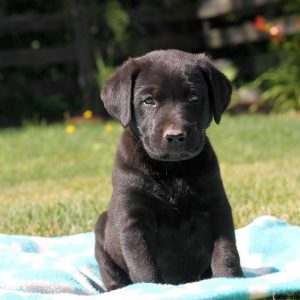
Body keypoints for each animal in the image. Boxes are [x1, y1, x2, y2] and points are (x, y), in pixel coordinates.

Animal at [95, 49, 243, 290]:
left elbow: (226, 251)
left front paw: (229, 281)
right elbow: (143, 265)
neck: (171, 170)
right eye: (148, 101)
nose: (175, 136)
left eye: (194, 98)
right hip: (101, 233)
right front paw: (150, 290)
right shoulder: (134, 220)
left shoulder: (216, 208)